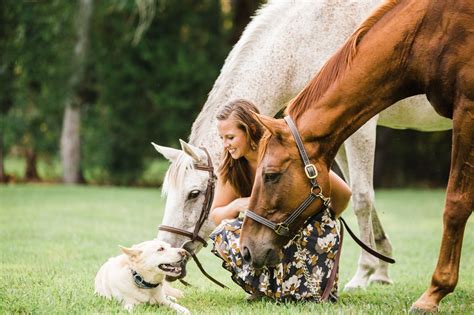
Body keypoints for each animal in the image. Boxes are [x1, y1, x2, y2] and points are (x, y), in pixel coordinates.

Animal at [243, 0, 472, 312]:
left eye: (270, 175)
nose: (246, 248)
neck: (428, 30)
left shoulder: (466, 113)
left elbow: (455, 204)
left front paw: (433, 291)